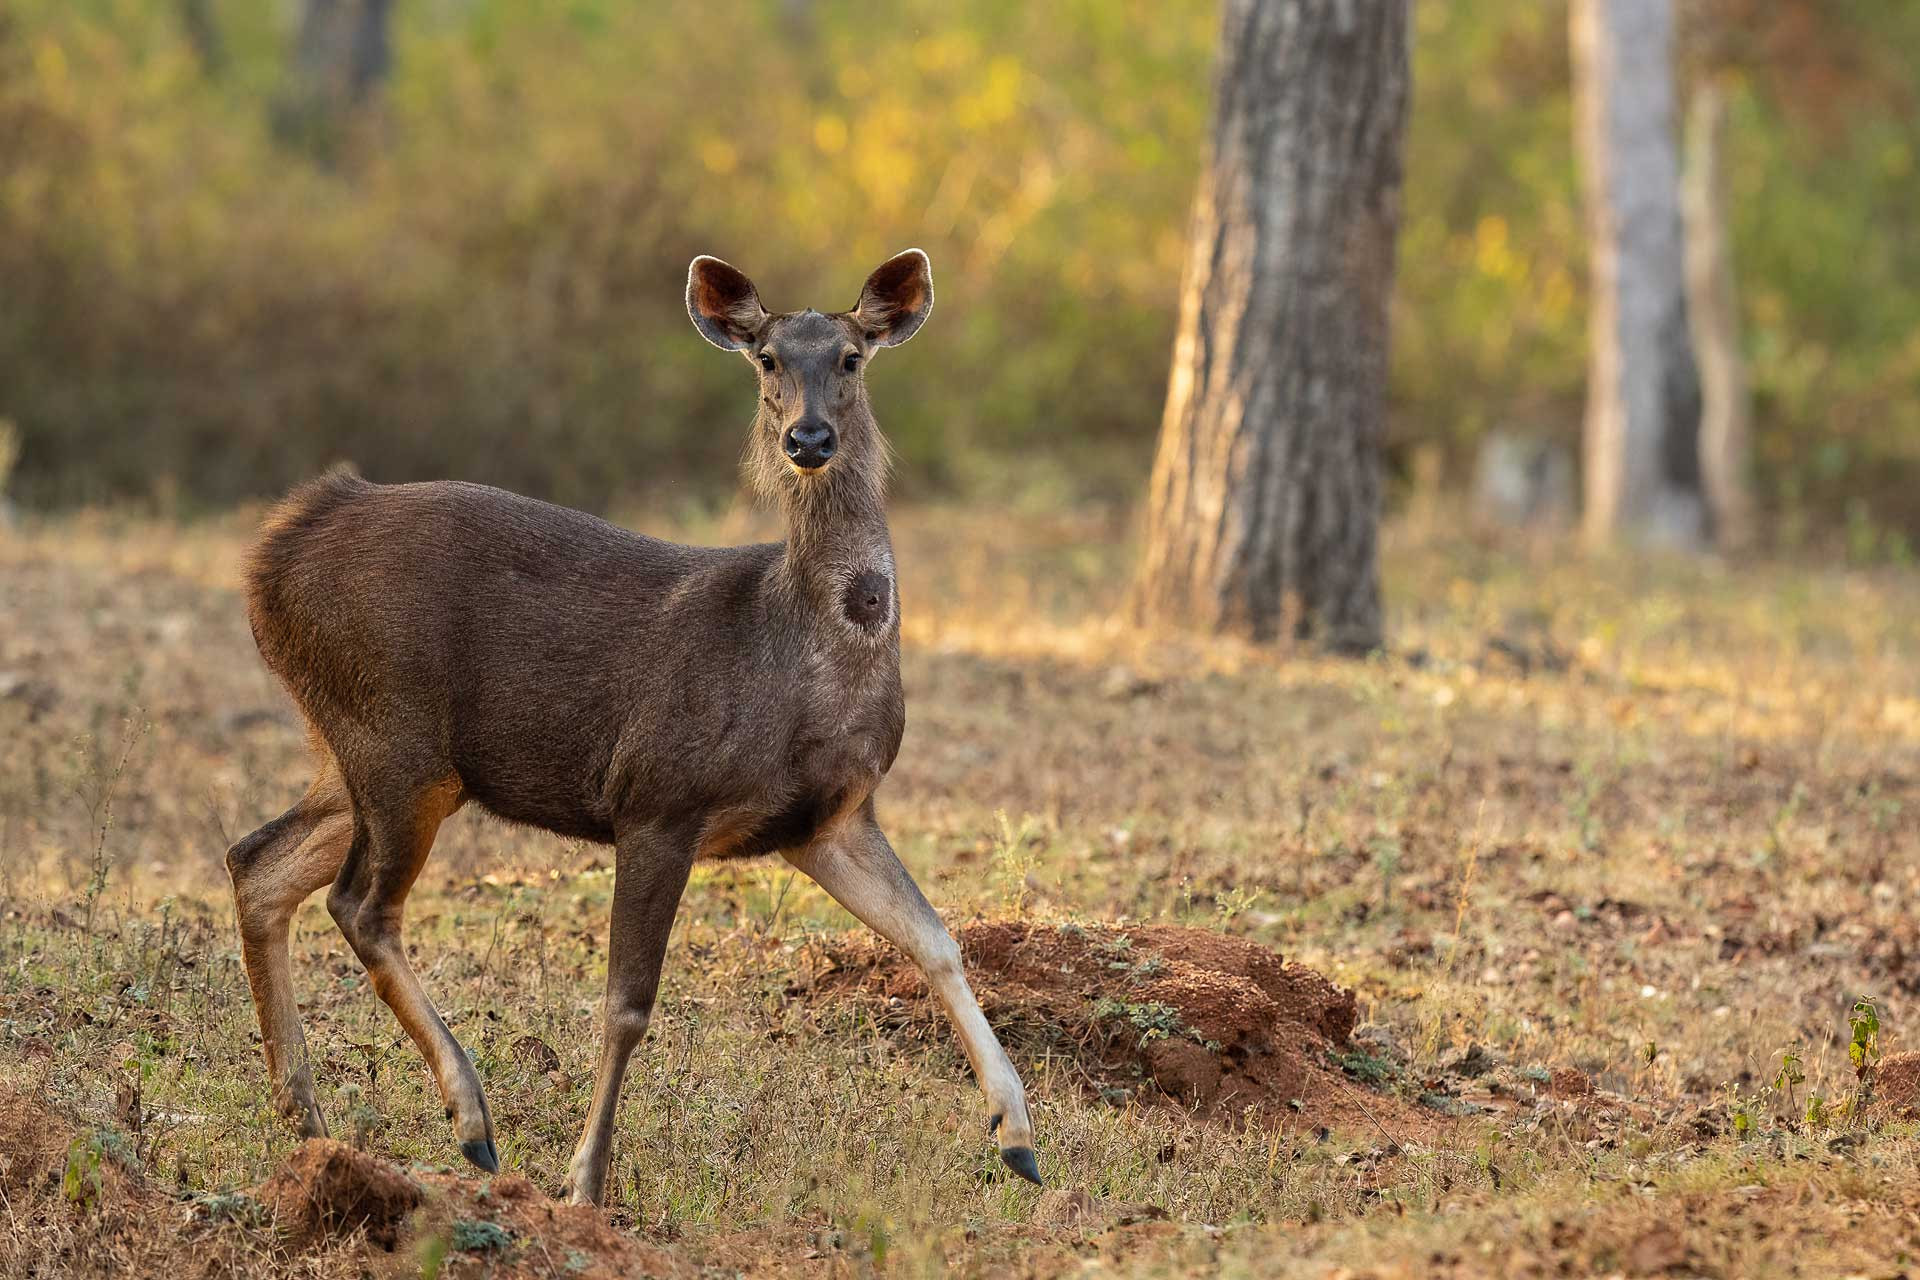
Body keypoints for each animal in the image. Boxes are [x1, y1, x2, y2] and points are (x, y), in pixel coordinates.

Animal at [224, 247, 1044, 1205]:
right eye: (767, 359)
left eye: (851, 357)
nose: (807, 441)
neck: (800, 654)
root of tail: (276, 550)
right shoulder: (658, 796)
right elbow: (626, 1002)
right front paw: (584, 1181)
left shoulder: (826, 820)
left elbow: (938, 940)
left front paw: (1018, 1137)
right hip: (395, 734)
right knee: (360, 903)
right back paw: (470, 1122)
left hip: (362, 748)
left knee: (259, 862)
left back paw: (306, 1118)